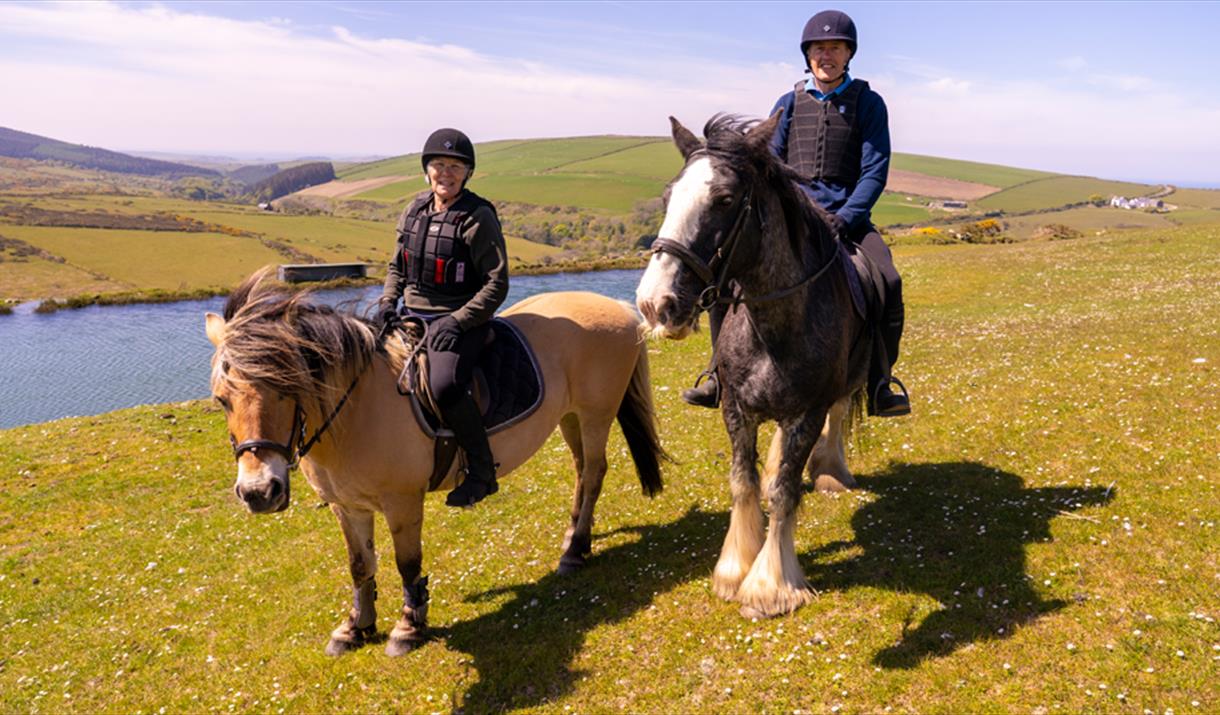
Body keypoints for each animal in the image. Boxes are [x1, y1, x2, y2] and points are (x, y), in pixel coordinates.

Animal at [209, 269, 668, 653]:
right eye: (221, 399)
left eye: (286, 388)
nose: (258, 492)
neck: (357, 408)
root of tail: (616, 306)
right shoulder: (348, 506)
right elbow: (360, 566)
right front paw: (357, 626)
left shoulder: (402, 502)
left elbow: (407, 563)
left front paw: (409, 626)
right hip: (569, 416)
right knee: (580, 471)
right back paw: (576, 538)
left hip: (595, 414)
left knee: (593, 474)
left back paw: (574, 552)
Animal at [634, 114, 873, 614]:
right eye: (668, 197)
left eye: (724, 200)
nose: (654, 304)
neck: (773, 327)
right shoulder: (736, 408)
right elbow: (742, 482)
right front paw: (734, 569)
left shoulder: (808, 412)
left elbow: (785, 492)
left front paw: (769, 585)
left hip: (849, 381)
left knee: (839, 415)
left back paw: (831, 472)